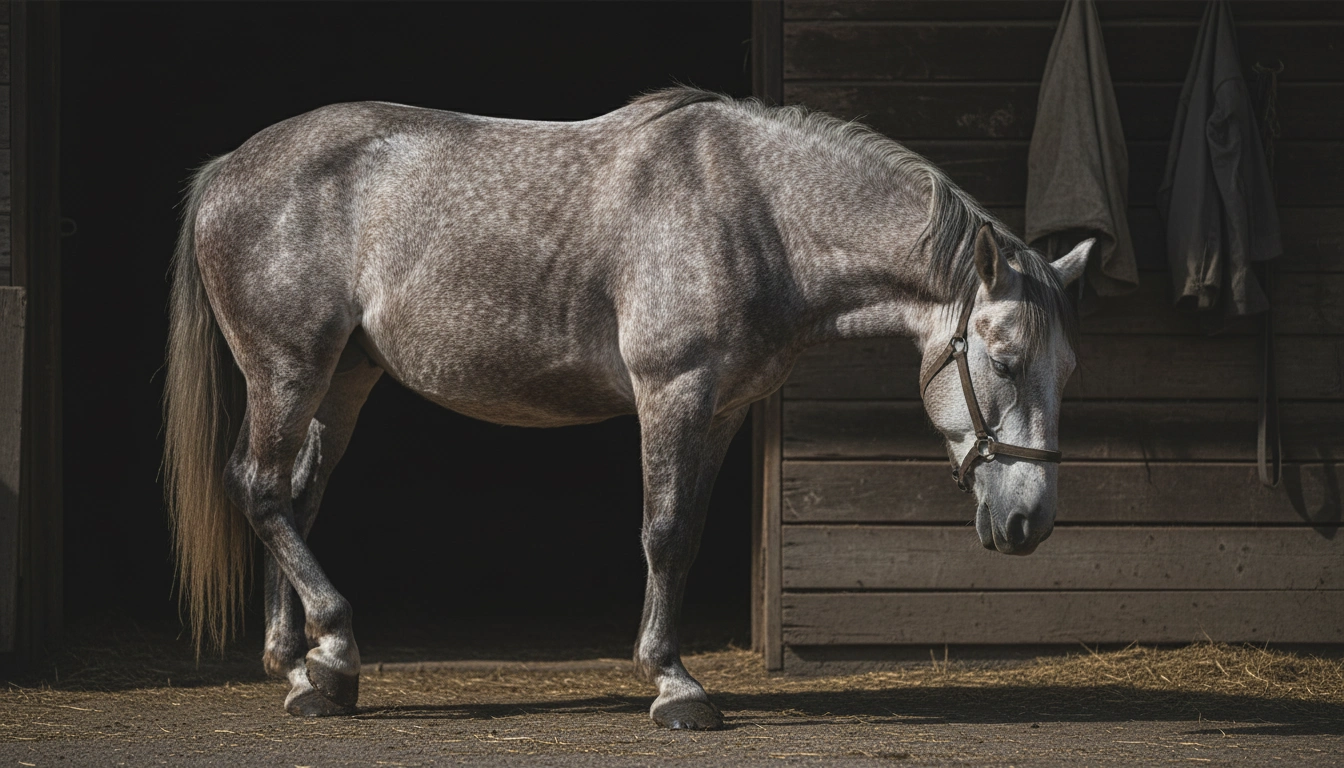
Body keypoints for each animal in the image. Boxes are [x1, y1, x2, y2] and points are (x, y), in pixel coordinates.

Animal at [163, 88, 1092, 729]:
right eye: (1005, 359)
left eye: (1068, 370)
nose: (1030, 522)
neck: (759, 213)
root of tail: (225, 170)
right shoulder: (671, 391)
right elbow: (664, 532)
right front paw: (675, 686)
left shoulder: (722, 409)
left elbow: (688, 536)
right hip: (287, 368)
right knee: (261, 489)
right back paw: (332, 645)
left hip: (343, 376)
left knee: (296, 496)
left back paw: (313, 672)